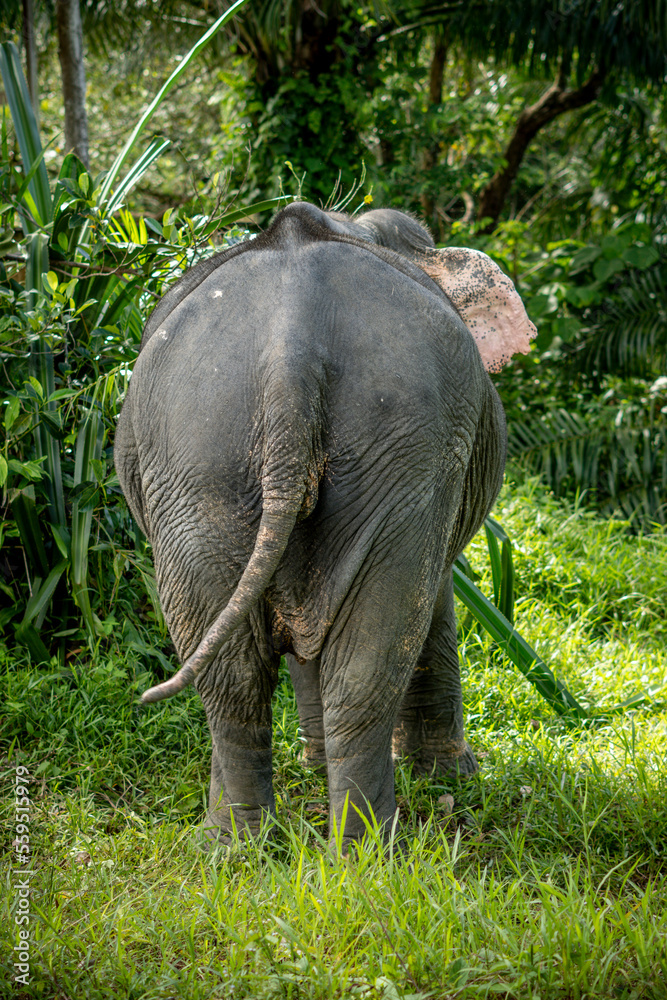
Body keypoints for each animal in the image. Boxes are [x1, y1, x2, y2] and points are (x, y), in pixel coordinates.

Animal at [114, 201, 536, 848]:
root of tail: (289, 346)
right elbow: (435, 596)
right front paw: (452, 774)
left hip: (200, 463)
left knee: (236, 677)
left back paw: (239, 846)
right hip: (392, 446)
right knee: (370, 657)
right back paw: (368, 853)